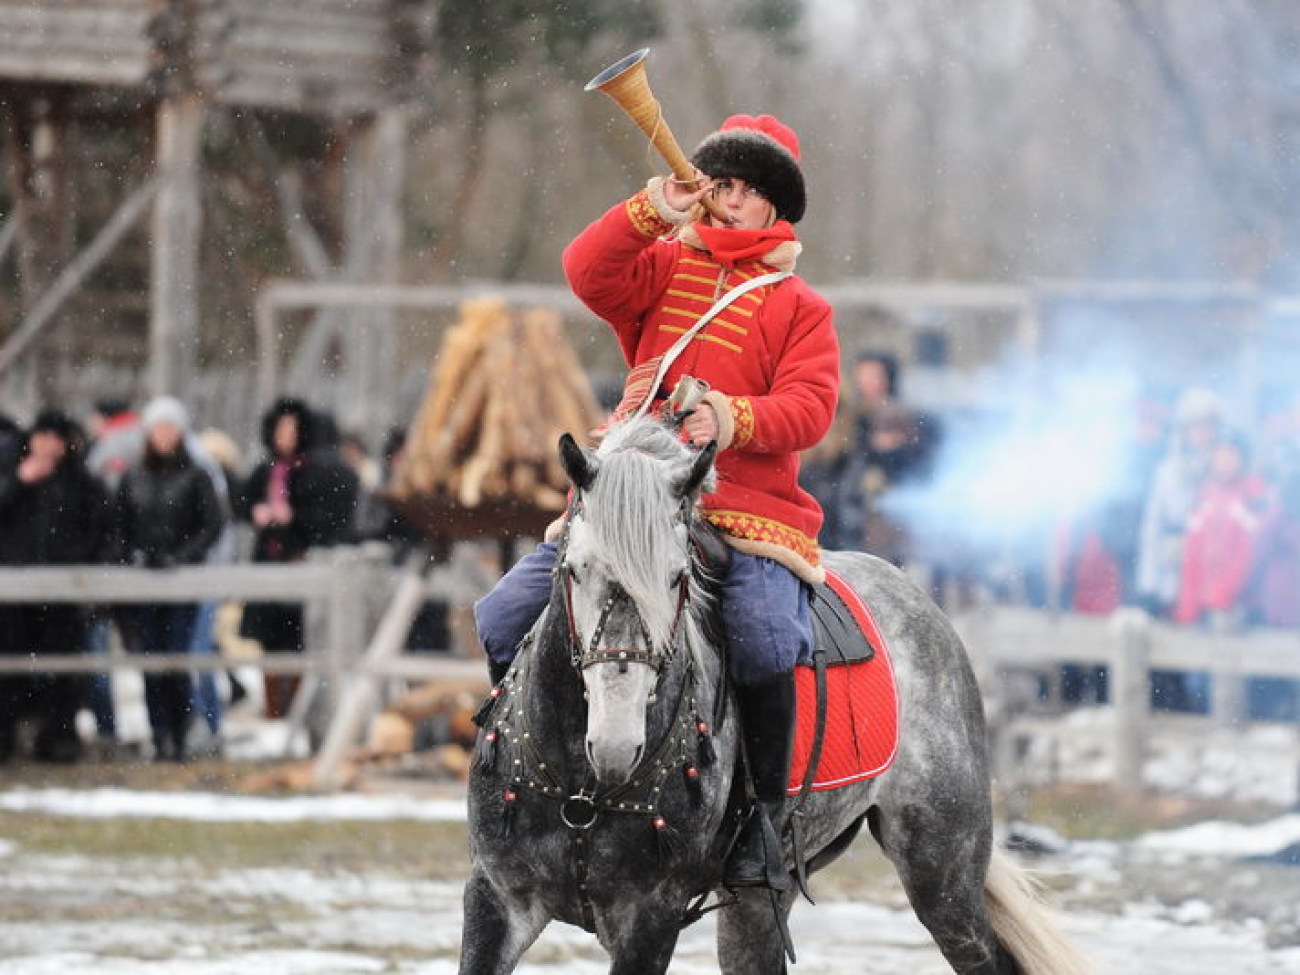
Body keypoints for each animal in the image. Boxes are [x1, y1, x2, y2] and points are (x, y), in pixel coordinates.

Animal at [457, 421, 1086, 975]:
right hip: (763, 898)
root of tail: (924, 602)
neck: (582, 790)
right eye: (575, 568)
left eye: (678, 577)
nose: (615, 745)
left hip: (943, 872)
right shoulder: (496, 899)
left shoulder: (650, 917)